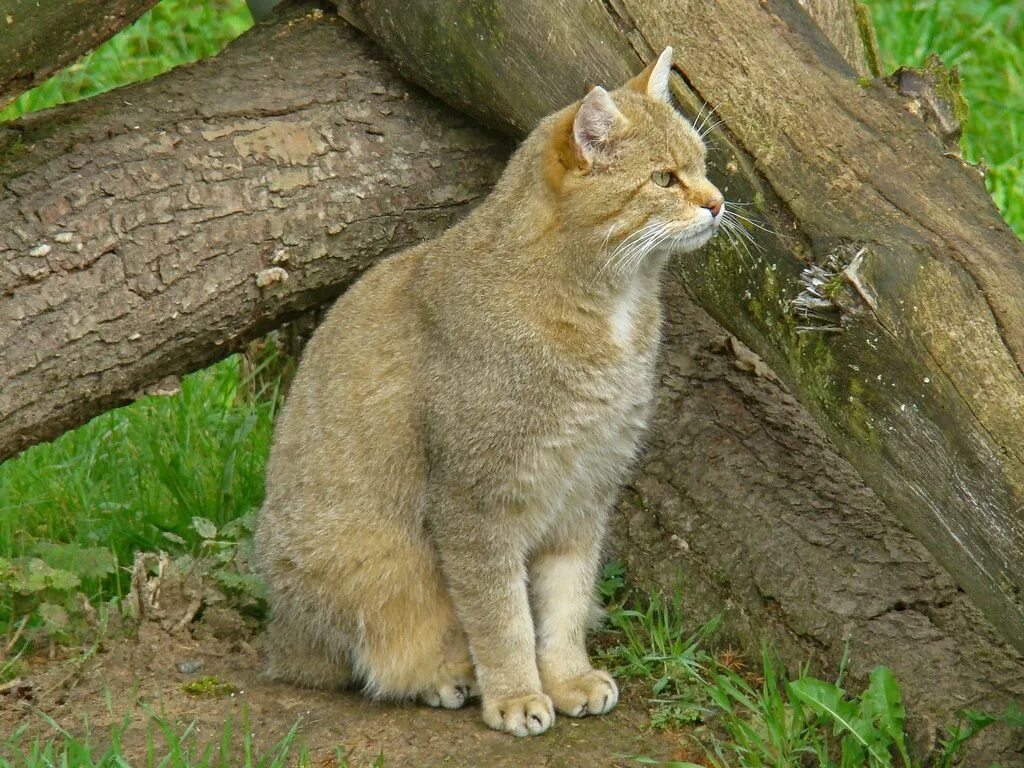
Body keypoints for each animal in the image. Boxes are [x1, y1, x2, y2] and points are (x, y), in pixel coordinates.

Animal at [251, 43, 724, 741]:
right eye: (665, 179)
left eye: (702, 165)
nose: (719, 203)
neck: (610, 309)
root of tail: (280, 640)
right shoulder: (476, 503)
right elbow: (502, 619)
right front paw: (517, 694)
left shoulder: (586, 490)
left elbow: (564, 602)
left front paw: (568, 677)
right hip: (373, 563)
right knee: (368, 656)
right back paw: (444, 677)